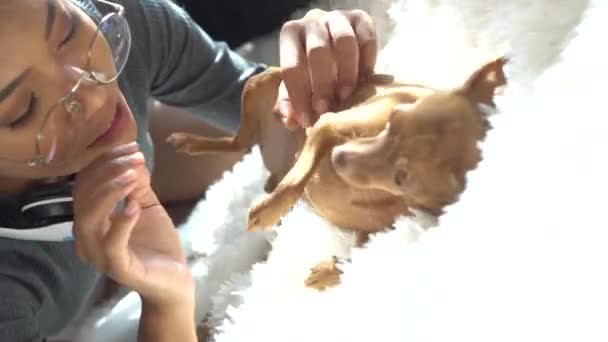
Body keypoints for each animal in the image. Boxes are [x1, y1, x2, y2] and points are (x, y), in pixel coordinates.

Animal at [167, 56, 508, 238]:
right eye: (393, 119)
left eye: (402, 179)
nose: (338, 156)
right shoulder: (326, 123)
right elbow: (300, 173)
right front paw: (270, 209)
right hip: (260, 84)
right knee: (238, 141)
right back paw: (188, 142)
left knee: (245, 146)